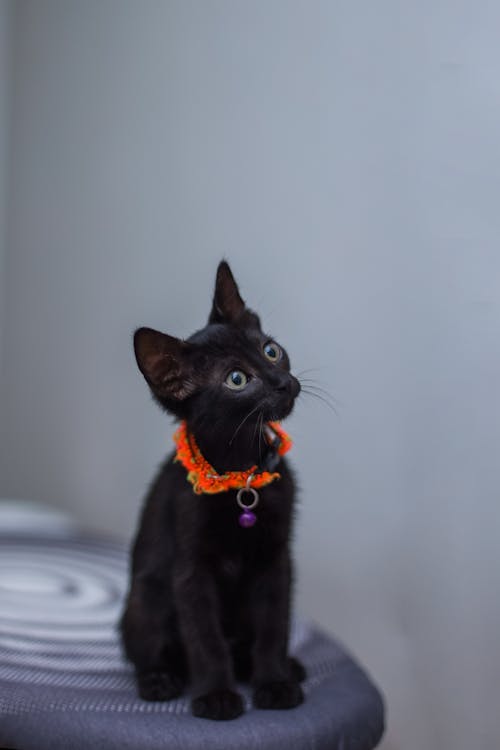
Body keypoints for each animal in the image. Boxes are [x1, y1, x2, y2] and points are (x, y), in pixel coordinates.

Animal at [122, 260, 304, 724]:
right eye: (237, 379)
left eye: (271, 350)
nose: (284, 381)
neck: (240, 479)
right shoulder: (190, 570)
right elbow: (205, 638)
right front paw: (217, 696)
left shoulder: (276, 559)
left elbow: (274, 625)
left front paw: (275, 682)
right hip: (145, 596)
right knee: (146, 646)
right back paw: (159, 678)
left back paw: (285, 666)